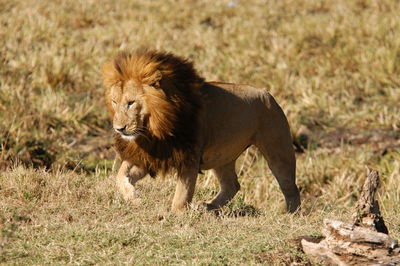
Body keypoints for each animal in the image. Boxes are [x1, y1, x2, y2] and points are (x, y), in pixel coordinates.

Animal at [103, 48, 300, 213]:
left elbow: (182, 195)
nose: (119, 128)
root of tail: (268, 94)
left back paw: (290, 214)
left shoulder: (189, 156)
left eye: (131, 103)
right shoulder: (150, 154)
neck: (154, 129)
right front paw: (134, 198)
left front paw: (177, 214)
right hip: (222, 156)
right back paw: (209, 207)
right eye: (114, 102)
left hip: (278, 150)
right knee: (232, 185)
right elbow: (120, 176)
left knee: (290, 186)